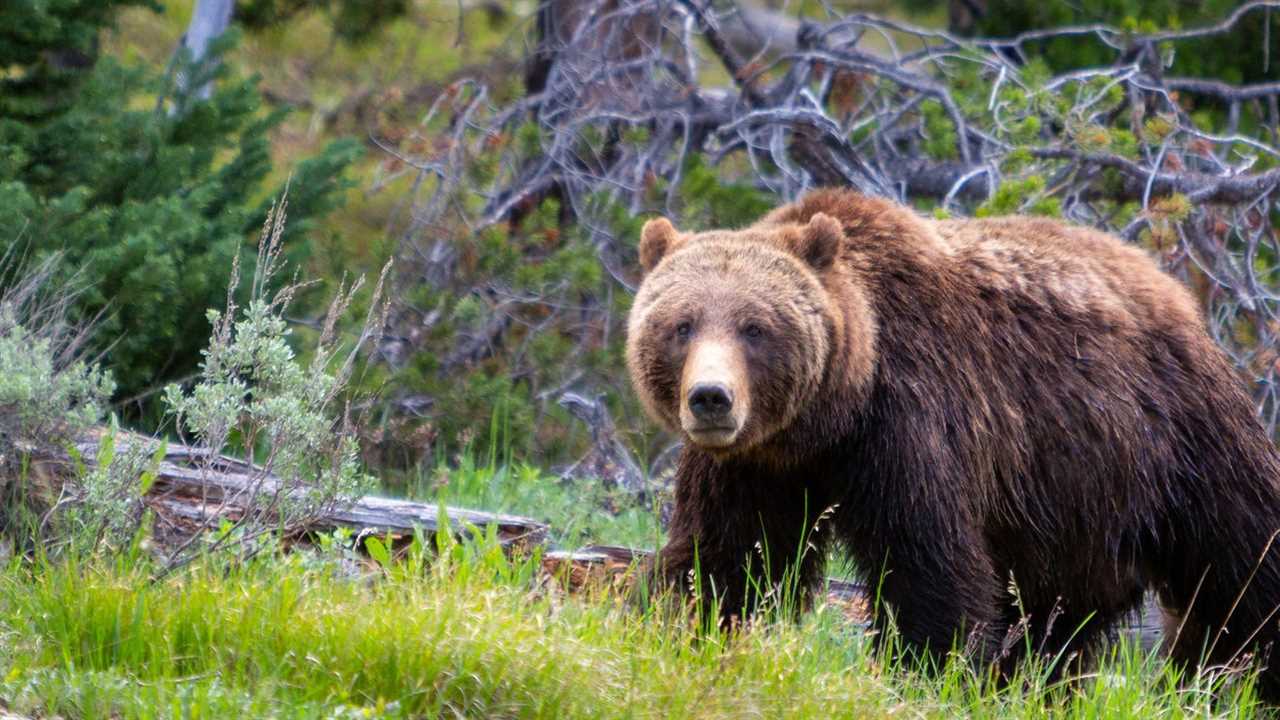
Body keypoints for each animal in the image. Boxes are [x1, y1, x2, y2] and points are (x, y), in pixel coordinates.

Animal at [629, 188, 1280, 691]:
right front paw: (690, 631)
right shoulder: (752, 468)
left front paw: (919, 672)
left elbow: (930, 565)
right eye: (681, 325)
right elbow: (727, 559)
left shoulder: (914, 421)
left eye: (755, 327)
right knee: (1056, 618)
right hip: (1071, 501)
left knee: (1242, 561)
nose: (711, 397)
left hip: (1175, 438)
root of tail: (1171, 288)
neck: (830, 418)